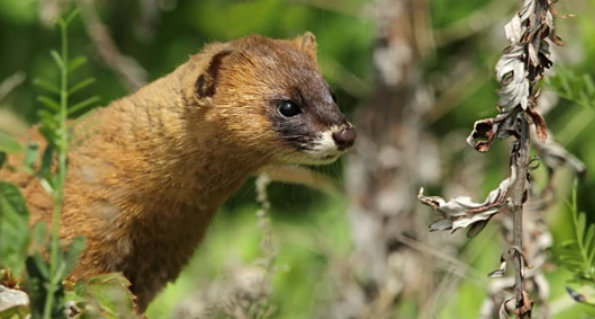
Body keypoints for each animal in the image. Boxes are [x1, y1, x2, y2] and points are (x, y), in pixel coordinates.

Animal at [0, 32, 354, 312]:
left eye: (332, 94)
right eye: (288, 105)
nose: (346, 133)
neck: (164, 215)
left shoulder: (165, 256)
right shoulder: (81, 224)